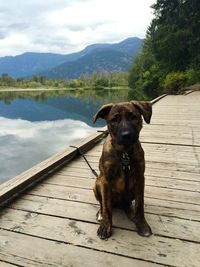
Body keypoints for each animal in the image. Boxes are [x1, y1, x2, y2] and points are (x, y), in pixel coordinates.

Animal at [93, 101, 152, 241]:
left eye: (133, 117)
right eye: (114, 119)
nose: (126, 135)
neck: (124, 153)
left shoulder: (140, 178)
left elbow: (140, 204)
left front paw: (142, 224)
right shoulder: (106, 180)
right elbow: (106, 206)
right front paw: (105, 226)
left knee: (127, 204)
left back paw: (131, 213)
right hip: (97, 183)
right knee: (103, 203)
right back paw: (100, 214)